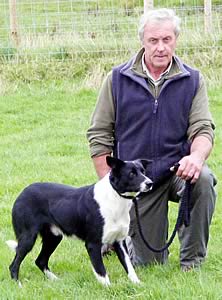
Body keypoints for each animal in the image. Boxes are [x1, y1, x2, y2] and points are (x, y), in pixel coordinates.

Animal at [6, 157, 153, 286]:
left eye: (143, 171)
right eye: (131, 173)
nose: (150, 183)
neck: (115, 198)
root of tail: (22, 193)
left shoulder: (120, 241)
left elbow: (129, 267)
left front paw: (137, 284)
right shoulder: (93, 244)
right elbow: (101, 271)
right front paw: (108, 288)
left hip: (53, 237)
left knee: (40, 261)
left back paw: (55, 280)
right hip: (28, 237)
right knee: (14, 265)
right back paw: (18, 285)